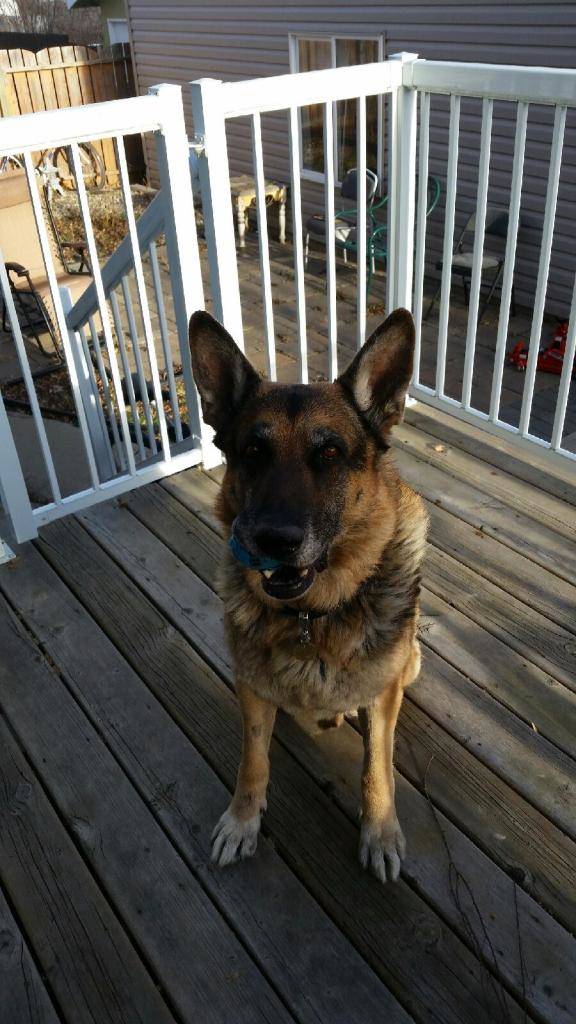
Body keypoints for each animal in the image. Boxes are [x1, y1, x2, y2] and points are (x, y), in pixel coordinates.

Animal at [188, 307, 426, 884]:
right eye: (253, 452)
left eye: (331, 454)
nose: (274, 540)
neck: (308, 616)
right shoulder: (251, 688)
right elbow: (252, 761)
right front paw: (242, 820)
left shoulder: (383, 697)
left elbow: (377, 769)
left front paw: (380, 831)